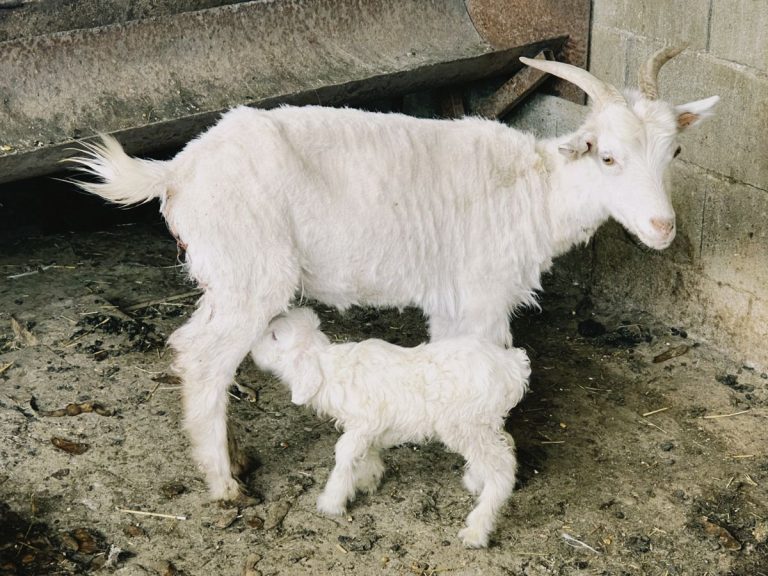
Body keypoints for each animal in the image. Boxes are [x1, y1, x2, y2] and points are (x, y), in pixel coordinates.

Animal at [70, 47, 719, 500]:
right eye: (607, 156)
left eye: (675, 153)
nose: (663, 228)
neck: (536, 190)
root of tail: (177, 170)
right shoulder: (479, 295)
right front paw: (482, 471)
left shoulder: (454, 305)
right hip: (251, 271)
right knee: (205, 358)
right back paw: (224, 484)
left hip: (225, 273)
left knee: (196, 347)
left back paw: (235, 460)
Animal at [251, 307, 530, 548]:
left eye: (274, 336)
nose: (251, 348)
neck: (330, 371)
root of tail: (513, 366)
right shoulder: (371, 426)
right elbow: (367, 452)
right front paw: (369, 479)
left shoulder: (363, 422)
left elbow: (345, 453)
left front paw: (331, 501)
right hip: (483, 424)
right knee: (504, 444)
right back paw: (475, 480)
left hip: (466, 425)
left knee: (502, 470)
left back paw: (476, 529)